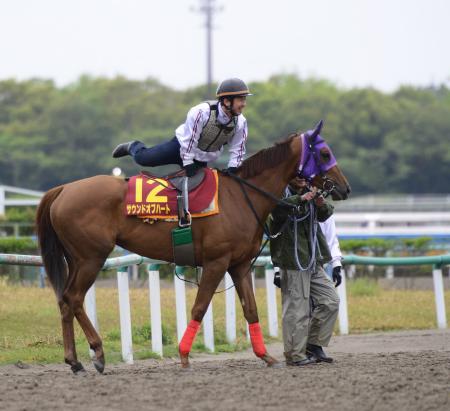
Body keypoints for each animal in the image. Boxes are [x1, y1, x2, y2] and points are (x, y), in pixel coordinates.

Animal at [36, 124, 352, 374]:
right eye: (325, 153)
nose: (344, 188)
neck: (241, 196)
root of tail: (63, 189)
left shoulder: (239, 265)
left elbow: (250, 309)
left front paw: (265, 356)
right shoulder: (216, 262)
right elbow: (200, 307)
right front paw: (184, 355)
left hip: (76, 259)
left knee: (65, 301)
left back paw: (75, 361)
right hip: (91, 258)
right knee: (74, 299)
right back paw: (98, 354)